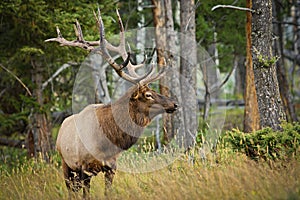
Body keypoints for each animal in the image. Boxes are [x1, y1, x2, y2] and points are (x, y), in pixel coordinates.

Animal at [45, 8, 177, 198]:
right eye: (148, 94)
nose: (174, 104)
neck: (106, 143)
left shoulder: (111, 167)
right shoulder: (84, 168)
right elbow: (86, 195)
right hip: (66, 164)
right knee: (71, 190)